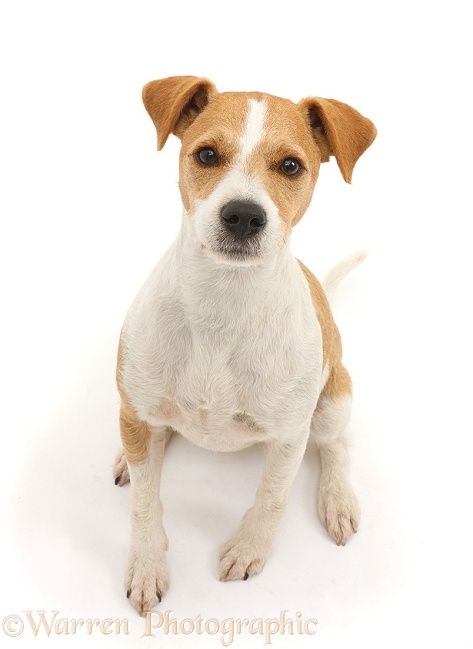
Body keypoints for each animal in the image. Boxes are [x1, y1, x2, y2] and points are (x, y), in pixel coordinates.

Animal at [112, 76, 374, 612]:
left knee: (336, 445)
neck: (223, 304)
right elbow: (145, 504)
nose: (243, 216)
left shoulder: (290, 438)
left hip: (333, 398)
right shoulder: (138, 414)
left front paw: (249, 550)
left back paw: (337, 499)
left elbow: (273, 497)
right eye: (207, 154)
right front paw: (147, 566)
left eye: (291, 165)